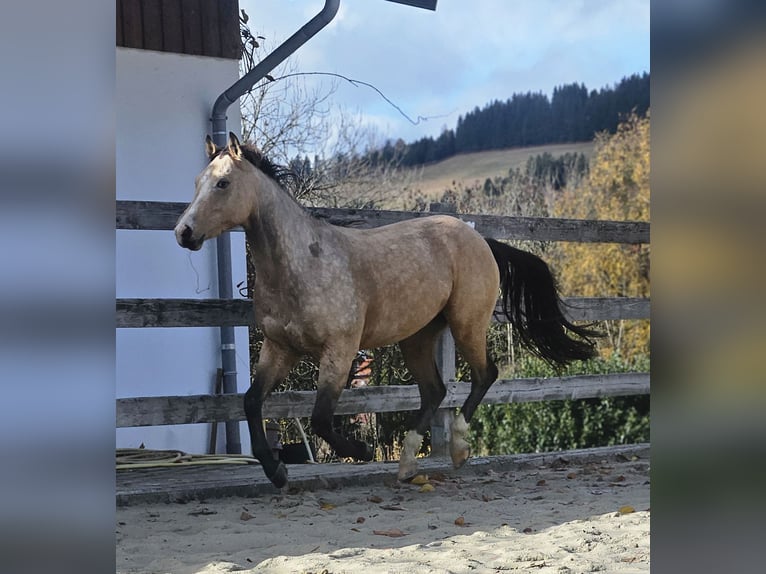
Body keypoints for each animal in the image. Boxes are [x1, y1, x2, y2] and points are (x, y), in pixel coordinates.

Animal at [175, 133, 599, 488]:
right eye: (196, 182)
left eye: (223, 184)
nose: (184, 233)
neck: (302, 265)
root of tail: (480, 239)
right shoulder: (280, 347)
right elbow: (251, 401)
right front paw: (276, 471)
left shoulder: (339, 350)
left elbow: (321, 418)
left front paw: (360, 452)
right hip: (419, 337)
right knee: (435, 391)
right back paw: (409, 464)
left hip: (467, 324)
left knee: (483, 376)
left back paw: (458, 451)